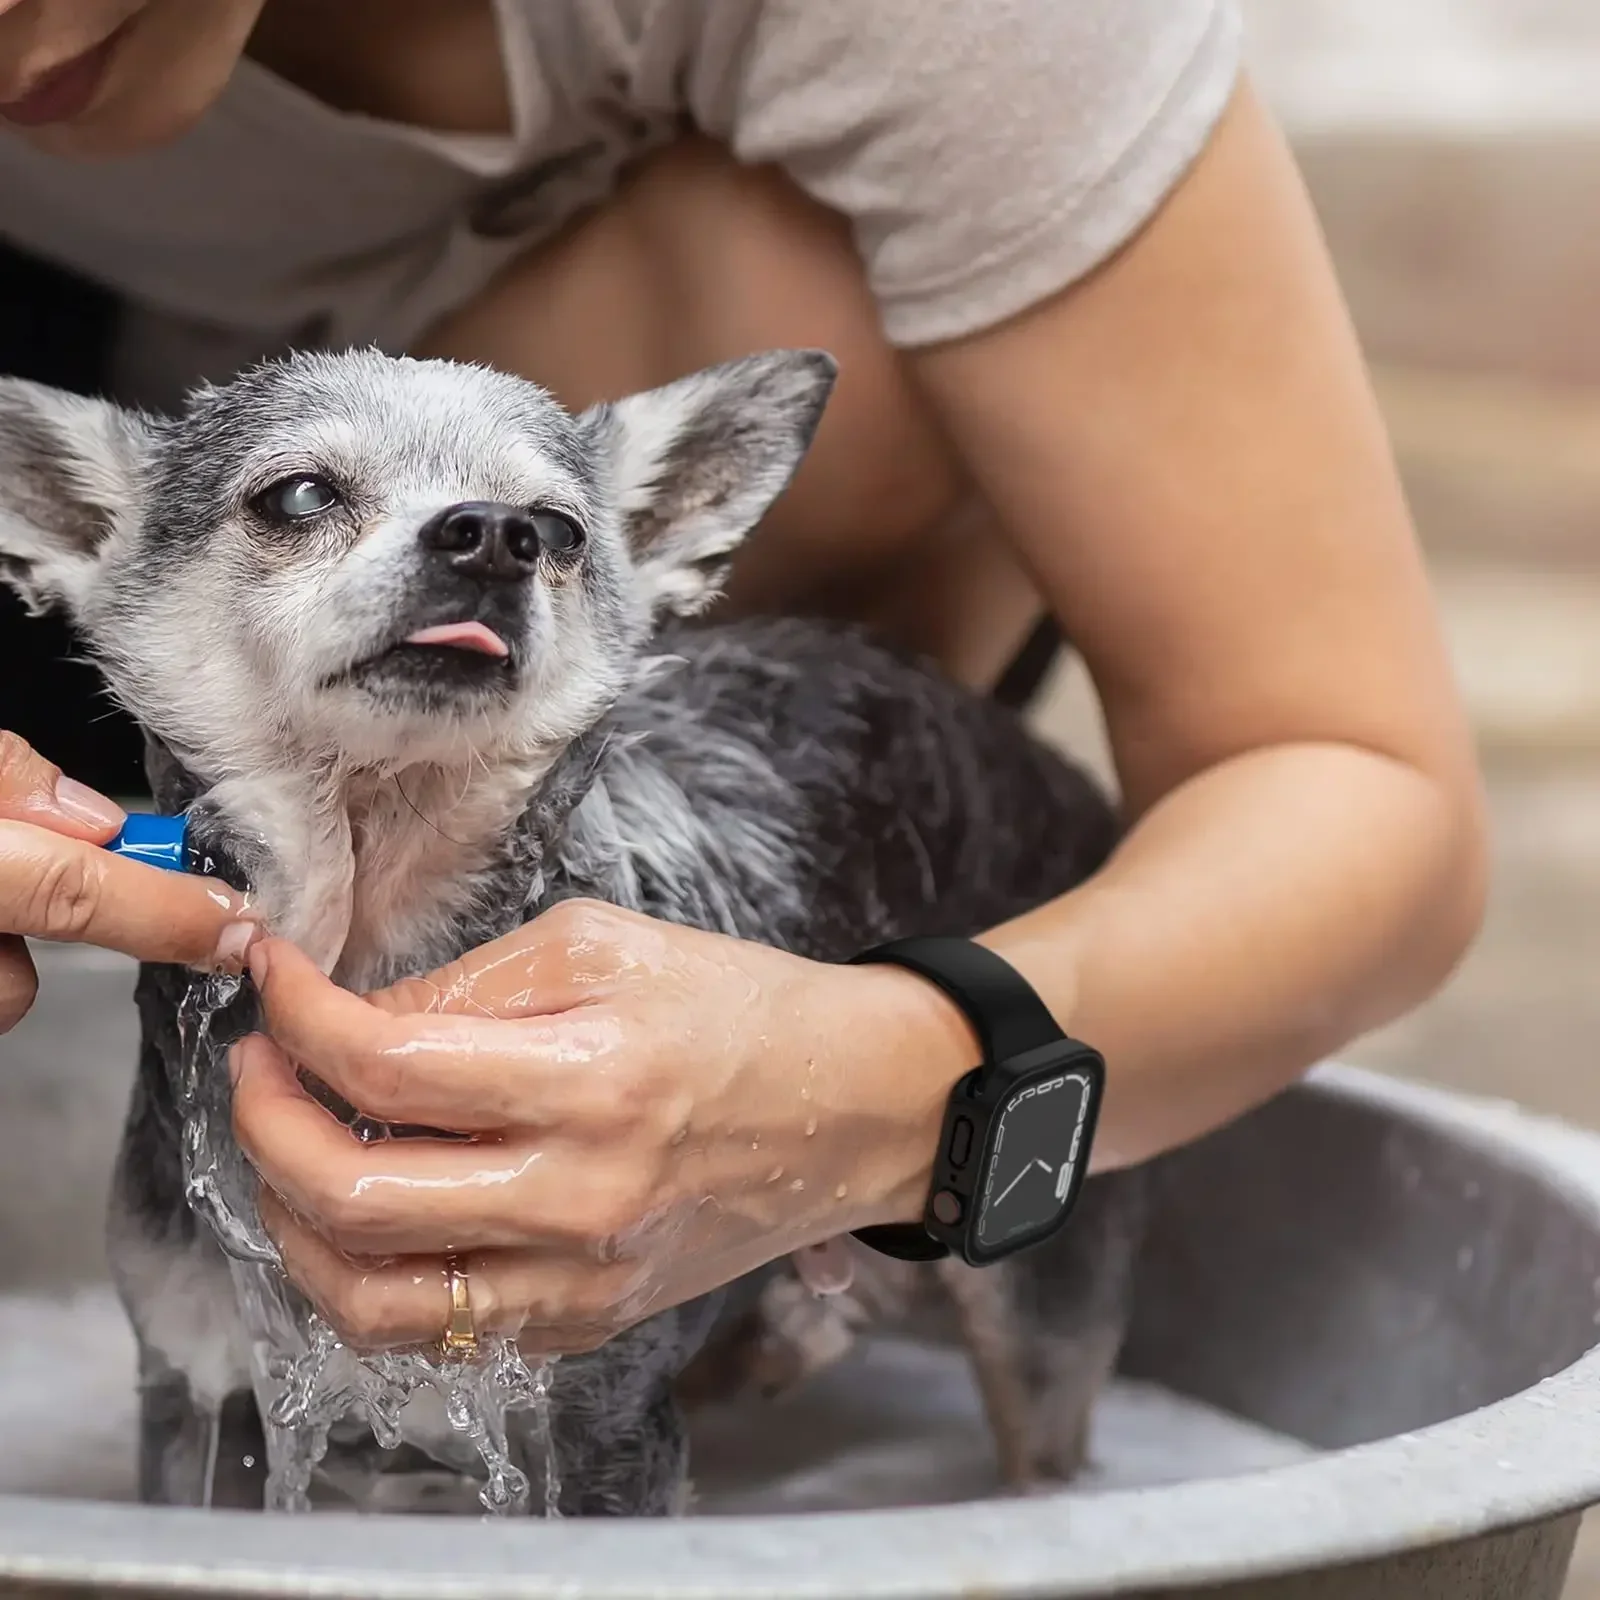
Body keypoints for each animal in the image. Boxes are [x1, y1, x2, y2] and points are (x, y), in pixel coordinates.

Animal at [0, 347, 1152, 1510]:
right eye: (299, 495)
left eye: (558, 529)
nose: (491, 532)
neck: (371, 930)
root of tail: (1066, 780)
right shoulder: (200, 1389)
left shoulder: (605, 1428)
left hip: (1038, 1324)